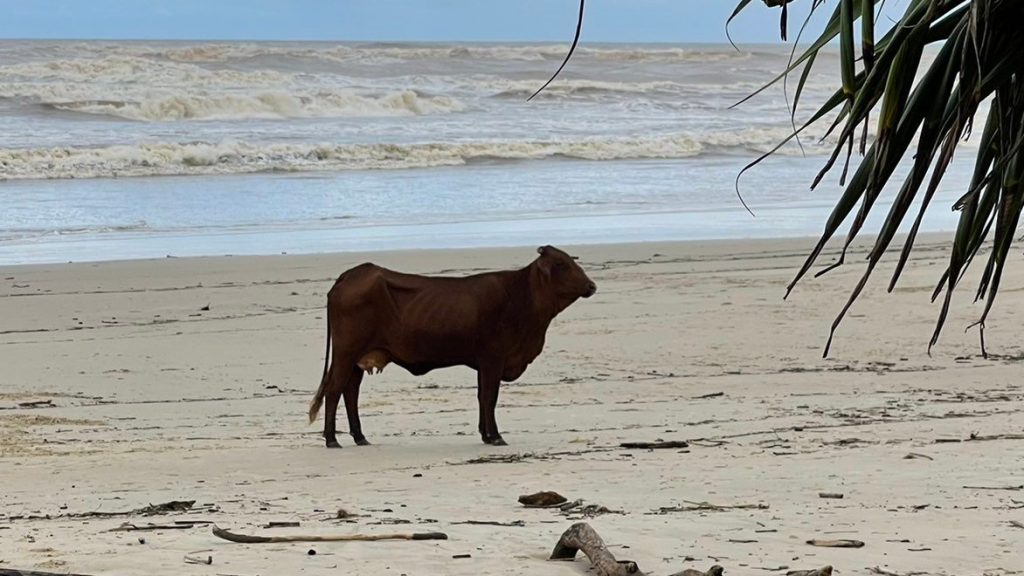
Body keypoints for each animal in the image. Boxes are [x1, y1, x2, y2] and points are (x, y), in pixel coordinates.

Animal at [308, 245, 596, 448]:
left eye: (572, 260)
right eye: (561, 264)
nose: (591, 285)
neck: (521, 297)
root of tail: (354, 273)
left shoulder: (485, 363)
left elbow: (482, 396)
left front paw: (485, 434)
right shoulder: (493, 359)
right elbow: (489, 397)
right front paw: (495, 436)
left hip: (357, 358)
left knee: (350, 392)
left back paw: (360, 436)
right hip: (346, 353)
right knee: (335, 390)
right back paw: (332, 439)